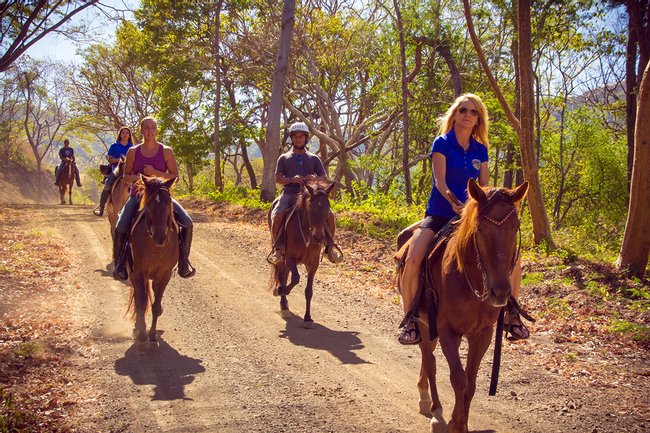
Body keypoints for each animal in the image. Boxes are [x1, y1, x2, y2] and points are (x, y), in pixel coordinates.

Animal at [125, 174, 177, 346]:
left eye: (169, 201)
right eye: (149, 205)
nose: (160, 237)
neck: (156, 247)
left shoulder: (164, 275)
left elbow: (155, 306)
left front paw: (153, 336)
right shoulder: (139, 273)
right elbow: (141, 303)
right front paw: (142, 334)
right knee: (137, 298)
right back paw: (137, 328)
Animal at [268, 180, 336, 328]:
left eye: (327, 206)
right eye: (310, 206)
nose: (318, 237)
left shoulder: (314, 262)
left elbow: (308, 291)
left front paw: (308, 318)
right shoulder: (290, 256)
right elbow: (295, 278)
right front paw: (281, 291)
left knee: (284, 275)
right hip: (281, 255)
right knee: (282, 274)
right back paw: (283, 303)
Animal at [398, 177, 528, 430]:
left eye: (515, 227)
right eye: (480, 229)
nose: (500, 292)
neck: (472, 283)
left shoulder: (482, 334)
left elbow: (470, 382)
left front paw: (462, 423)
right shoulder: (447, 330)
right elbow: (458, 378)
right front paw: (454, 424)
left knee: (429, 359)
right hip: (424, 322)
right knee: (430, 361)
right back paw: (434, 409)